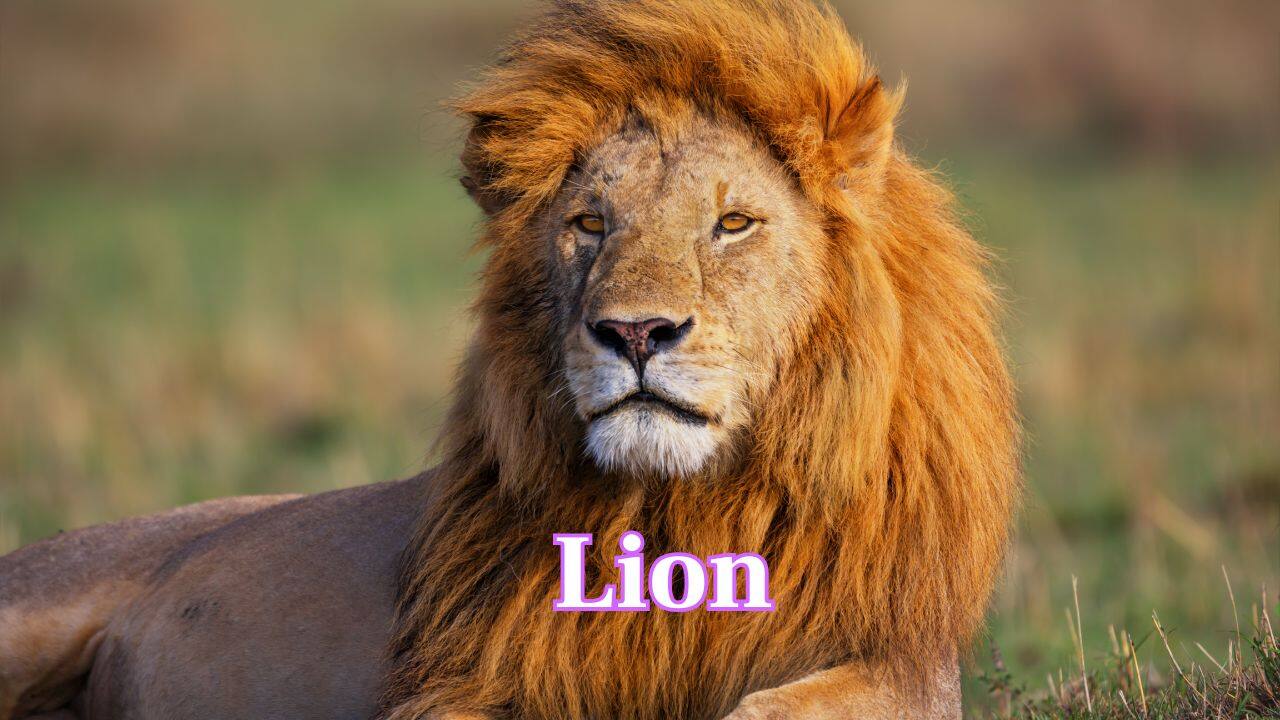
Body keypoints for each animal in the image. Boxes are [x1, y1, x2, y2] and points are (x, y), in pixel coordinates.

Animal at [0, 1, 1019, 718]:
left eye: (733, 223)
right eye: (590, 224)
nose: (635, 333)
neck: (679, 508)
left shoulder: (896, 660)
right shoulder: (470, 678)